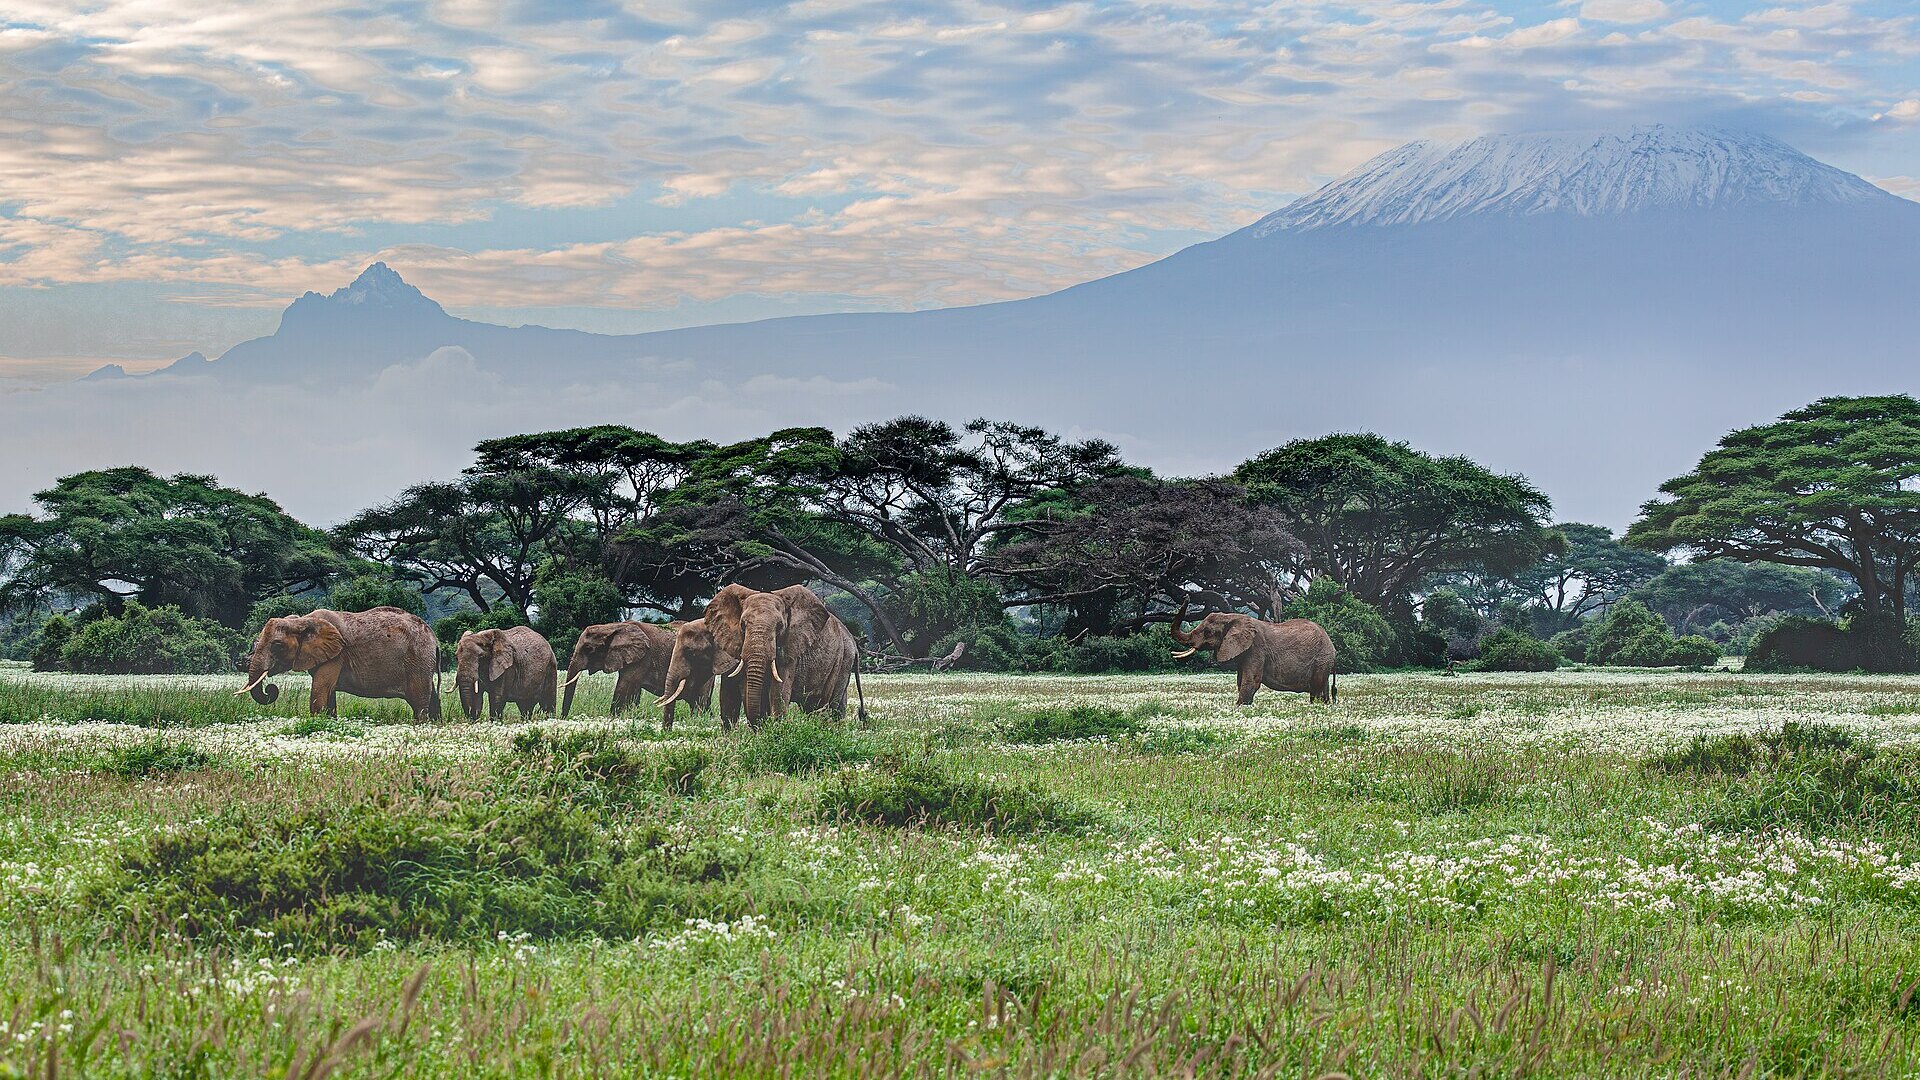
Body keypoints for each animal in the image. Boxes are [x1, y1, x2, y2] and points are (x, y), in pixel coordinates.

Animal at [238, 606, 441, 719]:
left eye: (277, 645)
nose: (270, 689)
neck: (303, 620)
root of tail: (434, 639)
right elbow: (328, 694)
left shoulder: (337, 654)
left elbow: (320, 691)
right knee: (433, 698)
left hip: (418, 658)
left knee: (419, 702)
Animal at [702, 584, 865, 727]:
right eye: (742, 625)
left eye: (780, 626)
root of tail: (853, 643)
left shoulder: (791, 646)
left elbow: (778, 691)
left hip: (843, 660)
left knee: (827, 703)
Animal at [1169, 596, 1337, 705]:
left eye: (1208, 632)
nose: (1187, 596)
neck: (1233, 617)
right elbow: (1241, 680)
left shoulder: (1256, 649)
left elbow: (1251, 681)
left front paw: (1239, 707)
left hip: (1321, 658)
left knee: (1316, 686)